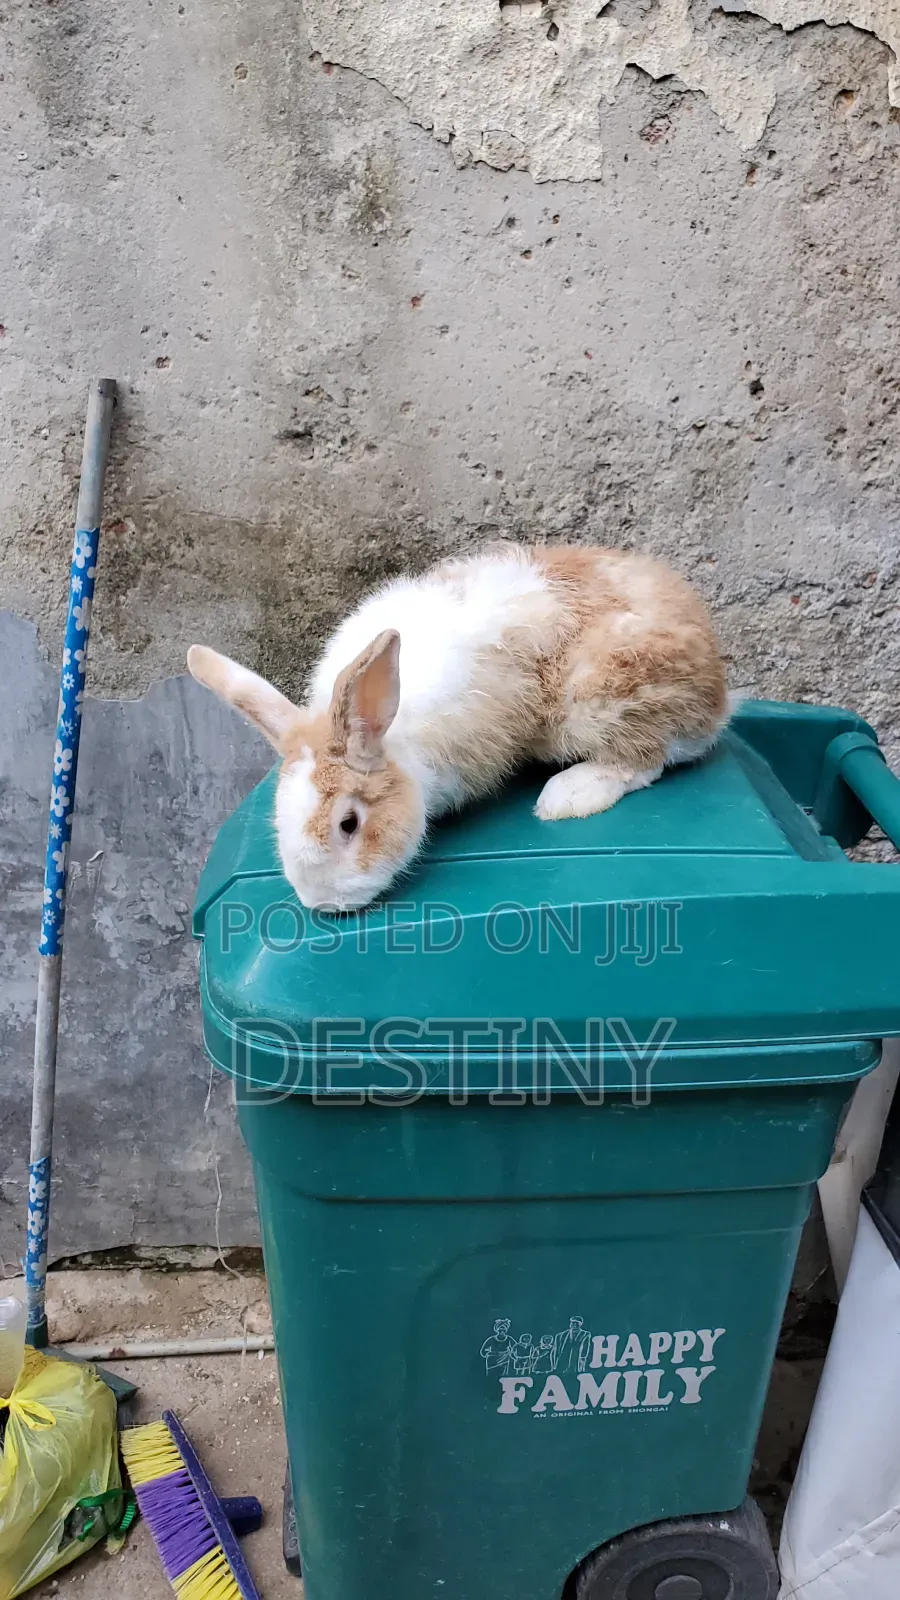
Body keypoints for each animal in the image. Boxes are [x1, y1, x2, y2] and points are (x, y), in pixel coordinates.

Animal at [187, 542, 728, 911]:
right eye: (278, 820)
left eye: (349, 824)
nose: (320, 904)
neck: (397, 740)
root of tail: (716, 690)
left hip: (597, 699)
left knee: (646, 758)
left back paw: (569, 794)